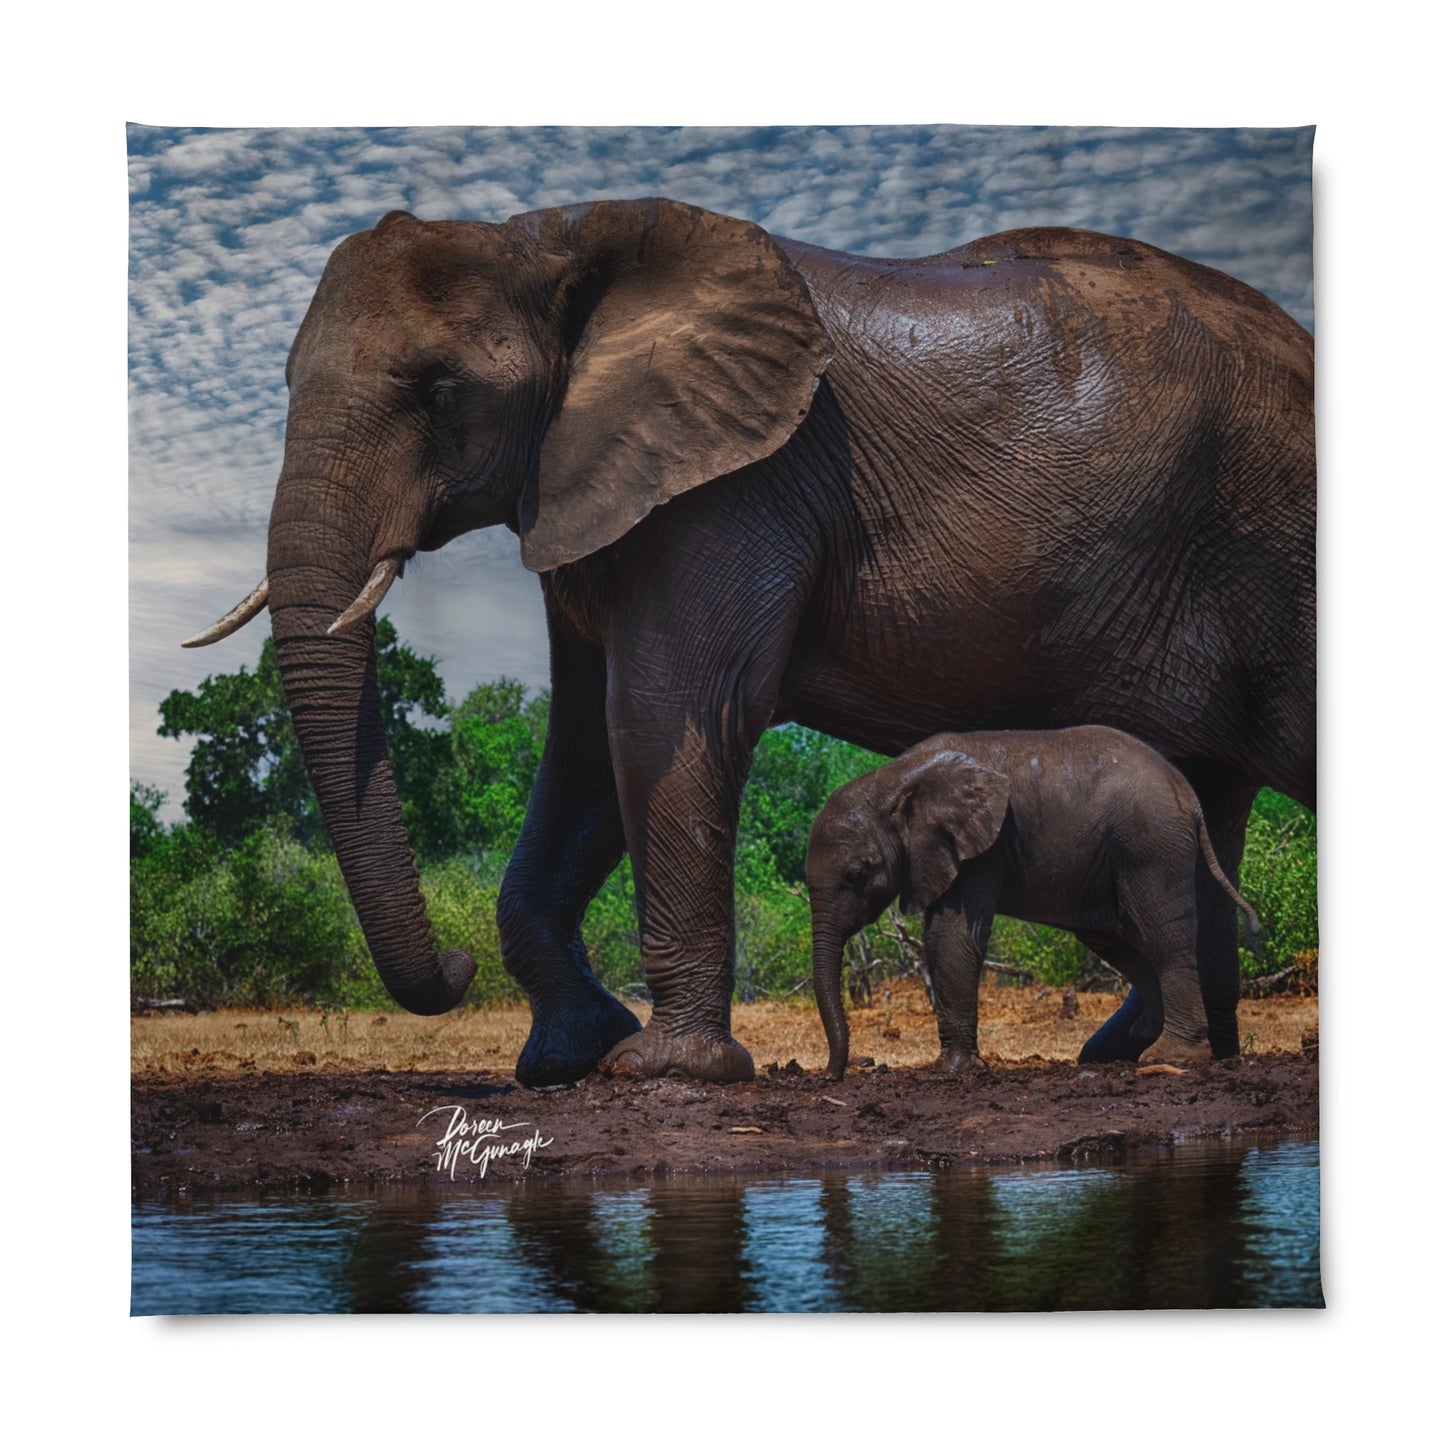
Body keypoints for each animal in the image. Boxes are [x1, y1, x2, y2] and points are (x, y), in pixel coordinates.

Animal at [805, 727, 1261, 1080]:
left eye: (858, 874)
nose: (831, 1076)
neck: (895, 779)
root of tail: (1188, 794)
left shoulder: (981, 849)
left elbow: (950, 936)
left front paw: (955, 1071)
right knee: (1113, 938)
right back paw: (1140, 1038)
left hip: (1151, 844)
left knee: (1163, 938)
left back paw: (1169, 1057)